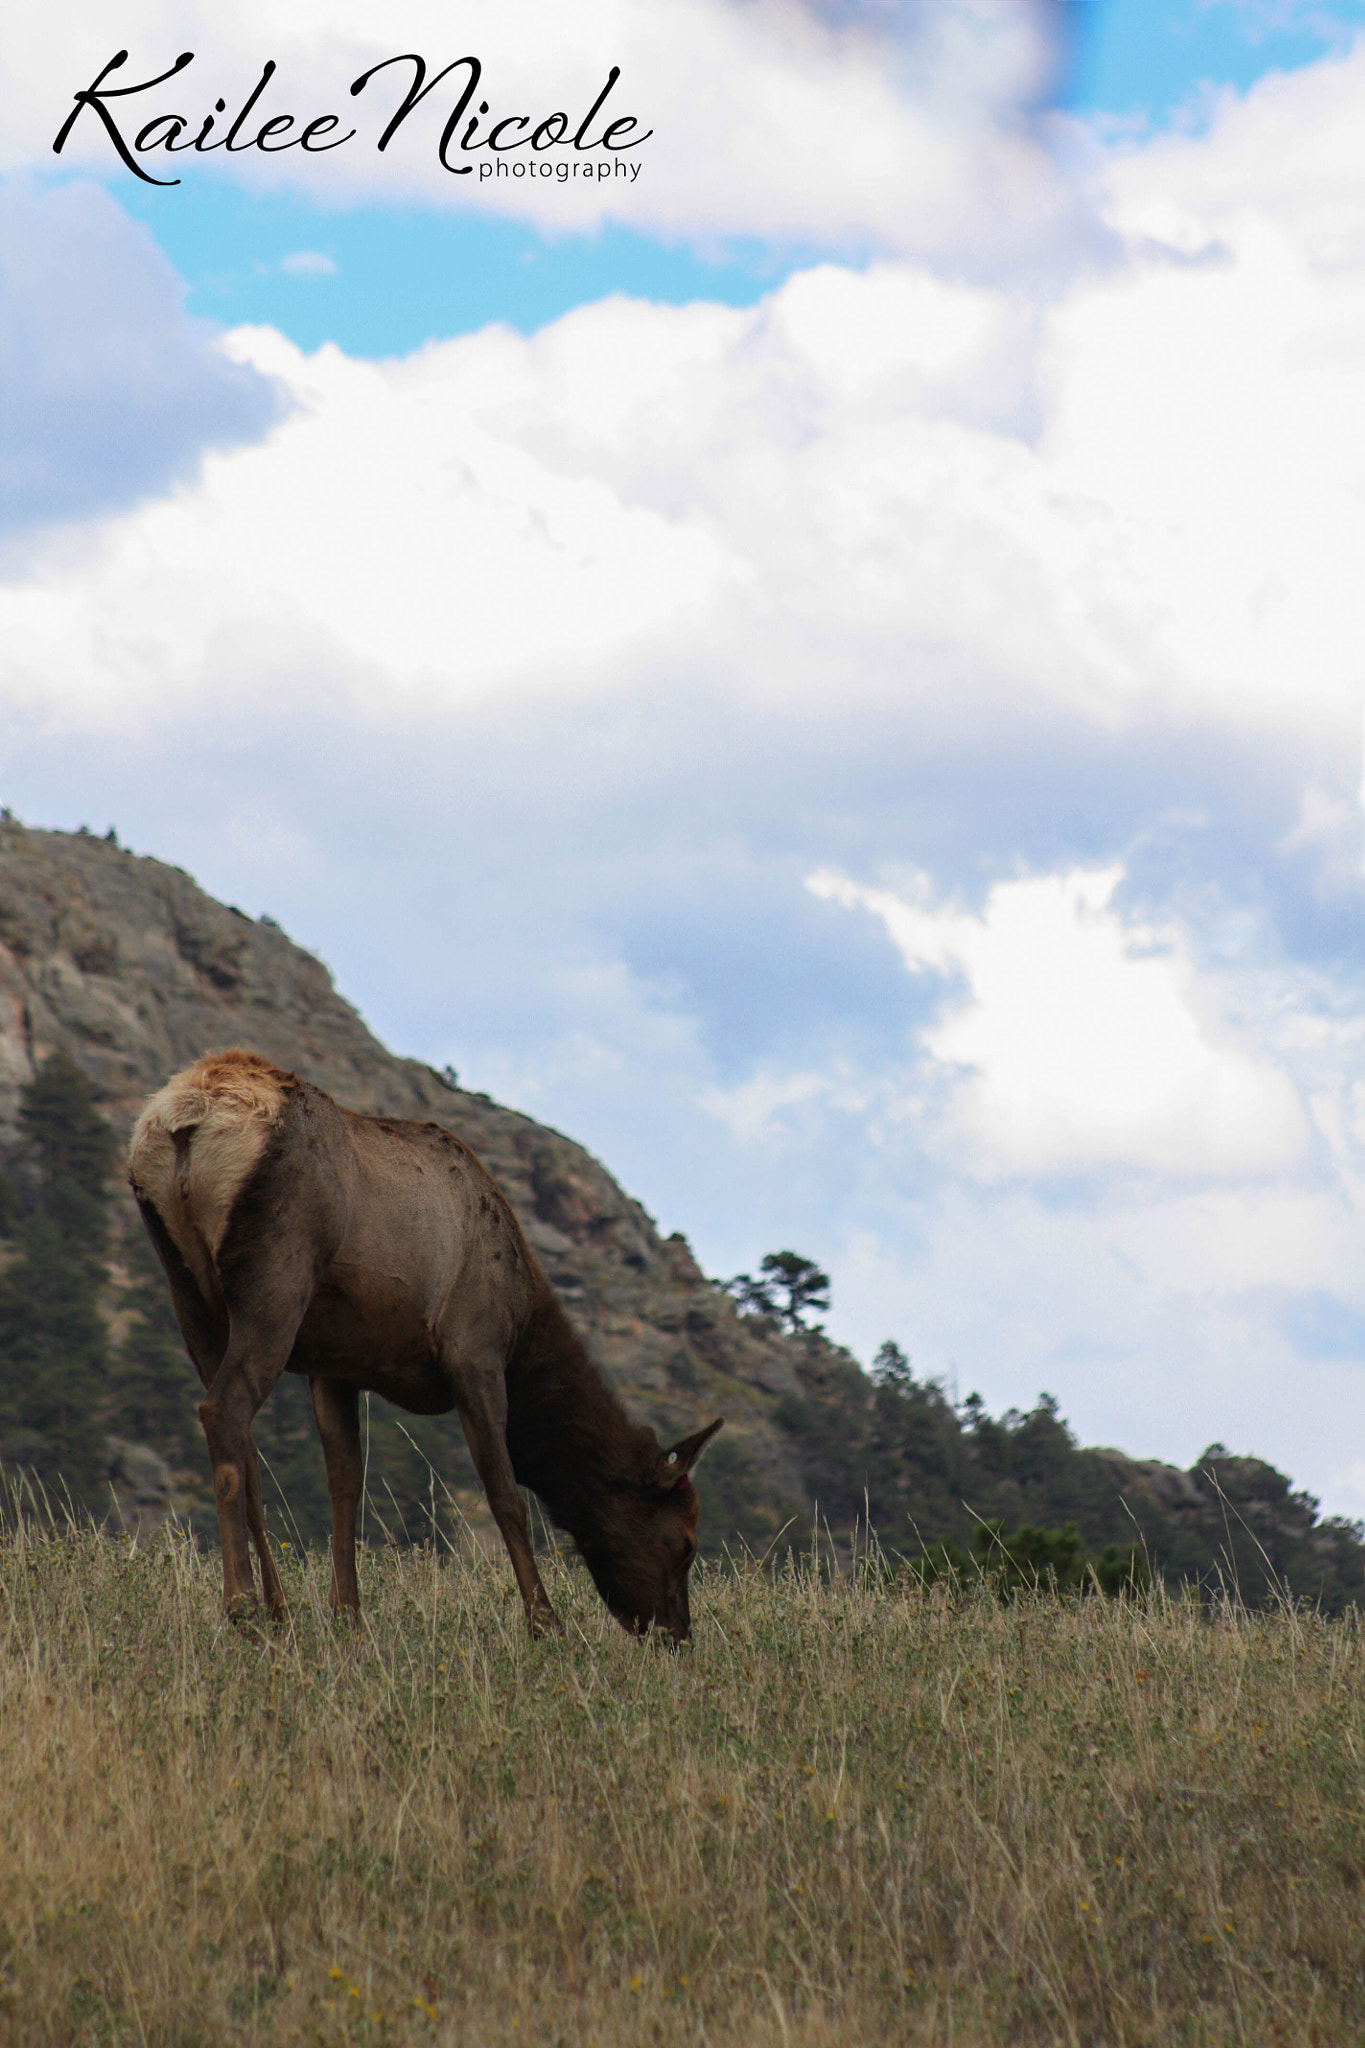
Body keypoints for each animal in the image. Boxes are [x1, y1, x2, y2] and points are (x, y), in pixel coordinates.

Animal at [128, 1049, 723, 1641]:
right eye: (686, 1543)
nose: (677, 1633)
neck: (524, 1326)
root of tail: (188, 1117)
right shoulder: (475, 1351)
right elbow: (505, 1493)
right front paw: (544, 1621)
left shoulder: (335, 1367)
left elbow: (346, 1483)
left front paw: (347, 1613)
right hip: (276, 1277)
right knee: (223, 1410)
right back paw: (242, 1606)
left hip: (190, 1293)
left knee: (241, 1440)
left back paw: (277, 1607)